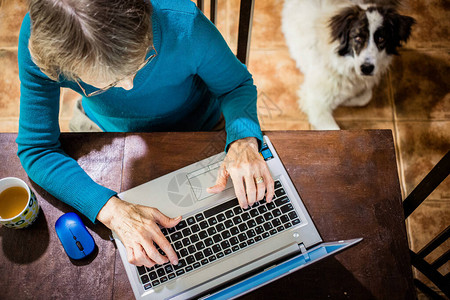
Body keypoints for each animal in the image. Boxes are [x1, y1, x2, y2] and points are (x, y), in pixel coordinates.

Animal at [282, 0, 414, 129]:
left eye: (381, 39)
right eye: (358, 38)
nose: (366, 68)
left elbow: (367, 96)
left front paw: (346, 100)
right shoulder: (315, 102)